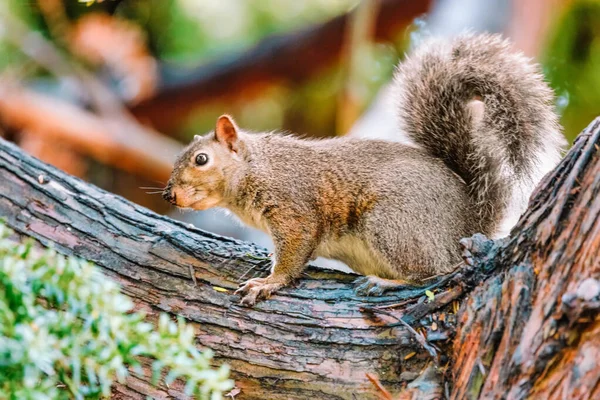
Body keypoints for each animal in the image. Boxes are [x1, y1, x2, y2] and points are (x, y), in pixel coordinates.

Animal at [164, 33, 568, 306]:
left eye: (201, 159)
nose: (169, 194)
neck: (255, 168)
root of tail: (470, 223)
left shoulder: (295, 210)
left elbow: (294, 253)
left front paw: (269, 282)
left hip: (392, 223)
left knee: (439, 270)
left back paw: (388, 283)